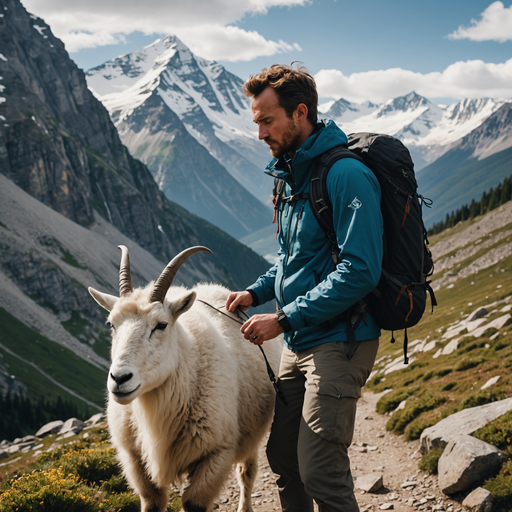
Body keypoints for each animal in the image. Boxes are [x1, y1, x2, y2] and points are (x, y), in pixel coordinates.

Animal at [88, 246, 280, 510]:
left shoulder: (216, 454)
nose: (119, 378)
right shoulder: (135, 461)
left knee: (247, 473)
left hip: (252, 432)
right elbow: (152, 503)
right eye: (111, 324)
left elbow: (193, 503)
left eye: (161, 325)